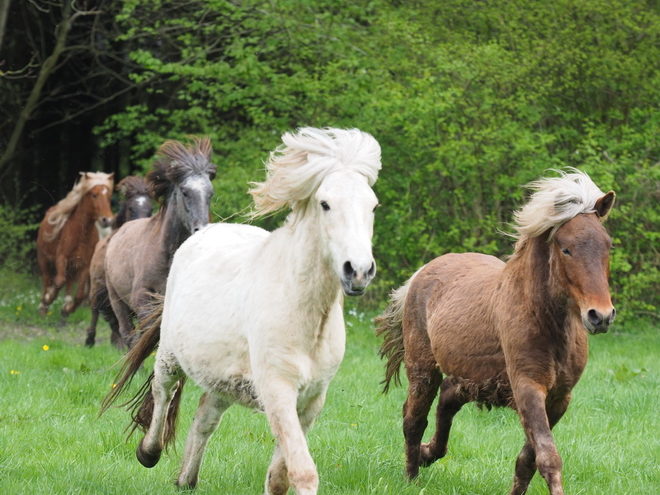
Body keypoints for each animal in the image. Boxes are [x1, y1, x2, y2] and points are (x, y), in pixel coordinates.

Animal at [36, 171, 114, 318]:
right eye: (94, 195)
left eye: (109, 196)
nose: (107, 220)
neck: (81, 234)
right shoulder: (61, 258)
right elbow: (58, 282)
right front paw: (48, 298)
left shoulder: (84, 265)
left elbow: (79, 295)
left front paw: (67, 309)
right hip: (44, 259)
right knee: (47, 280)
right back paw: (43, 305)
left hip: (72, 267)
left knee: (68, 282)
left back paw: (65, 304)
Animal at [104, 139, 215, 348]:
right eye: (185, 192)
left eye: (210, 193)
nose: (201, 230)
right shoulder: (142, 297)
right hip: (117, 300)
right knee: (128, 334)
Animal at [376, 169, 620, 494]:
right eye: (566, 248)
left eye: (607, 246)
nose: (601, 316)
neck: (544, 321)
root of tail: (421, 273)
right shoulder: (528, 387)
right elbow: (548, 457)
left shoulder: (559, 398)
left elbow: (528, 460)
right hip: (423, 370)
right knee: (413, 419)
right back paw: (412, 477)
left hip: (472, 377)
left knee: (448, 399)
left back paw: (429, 454)